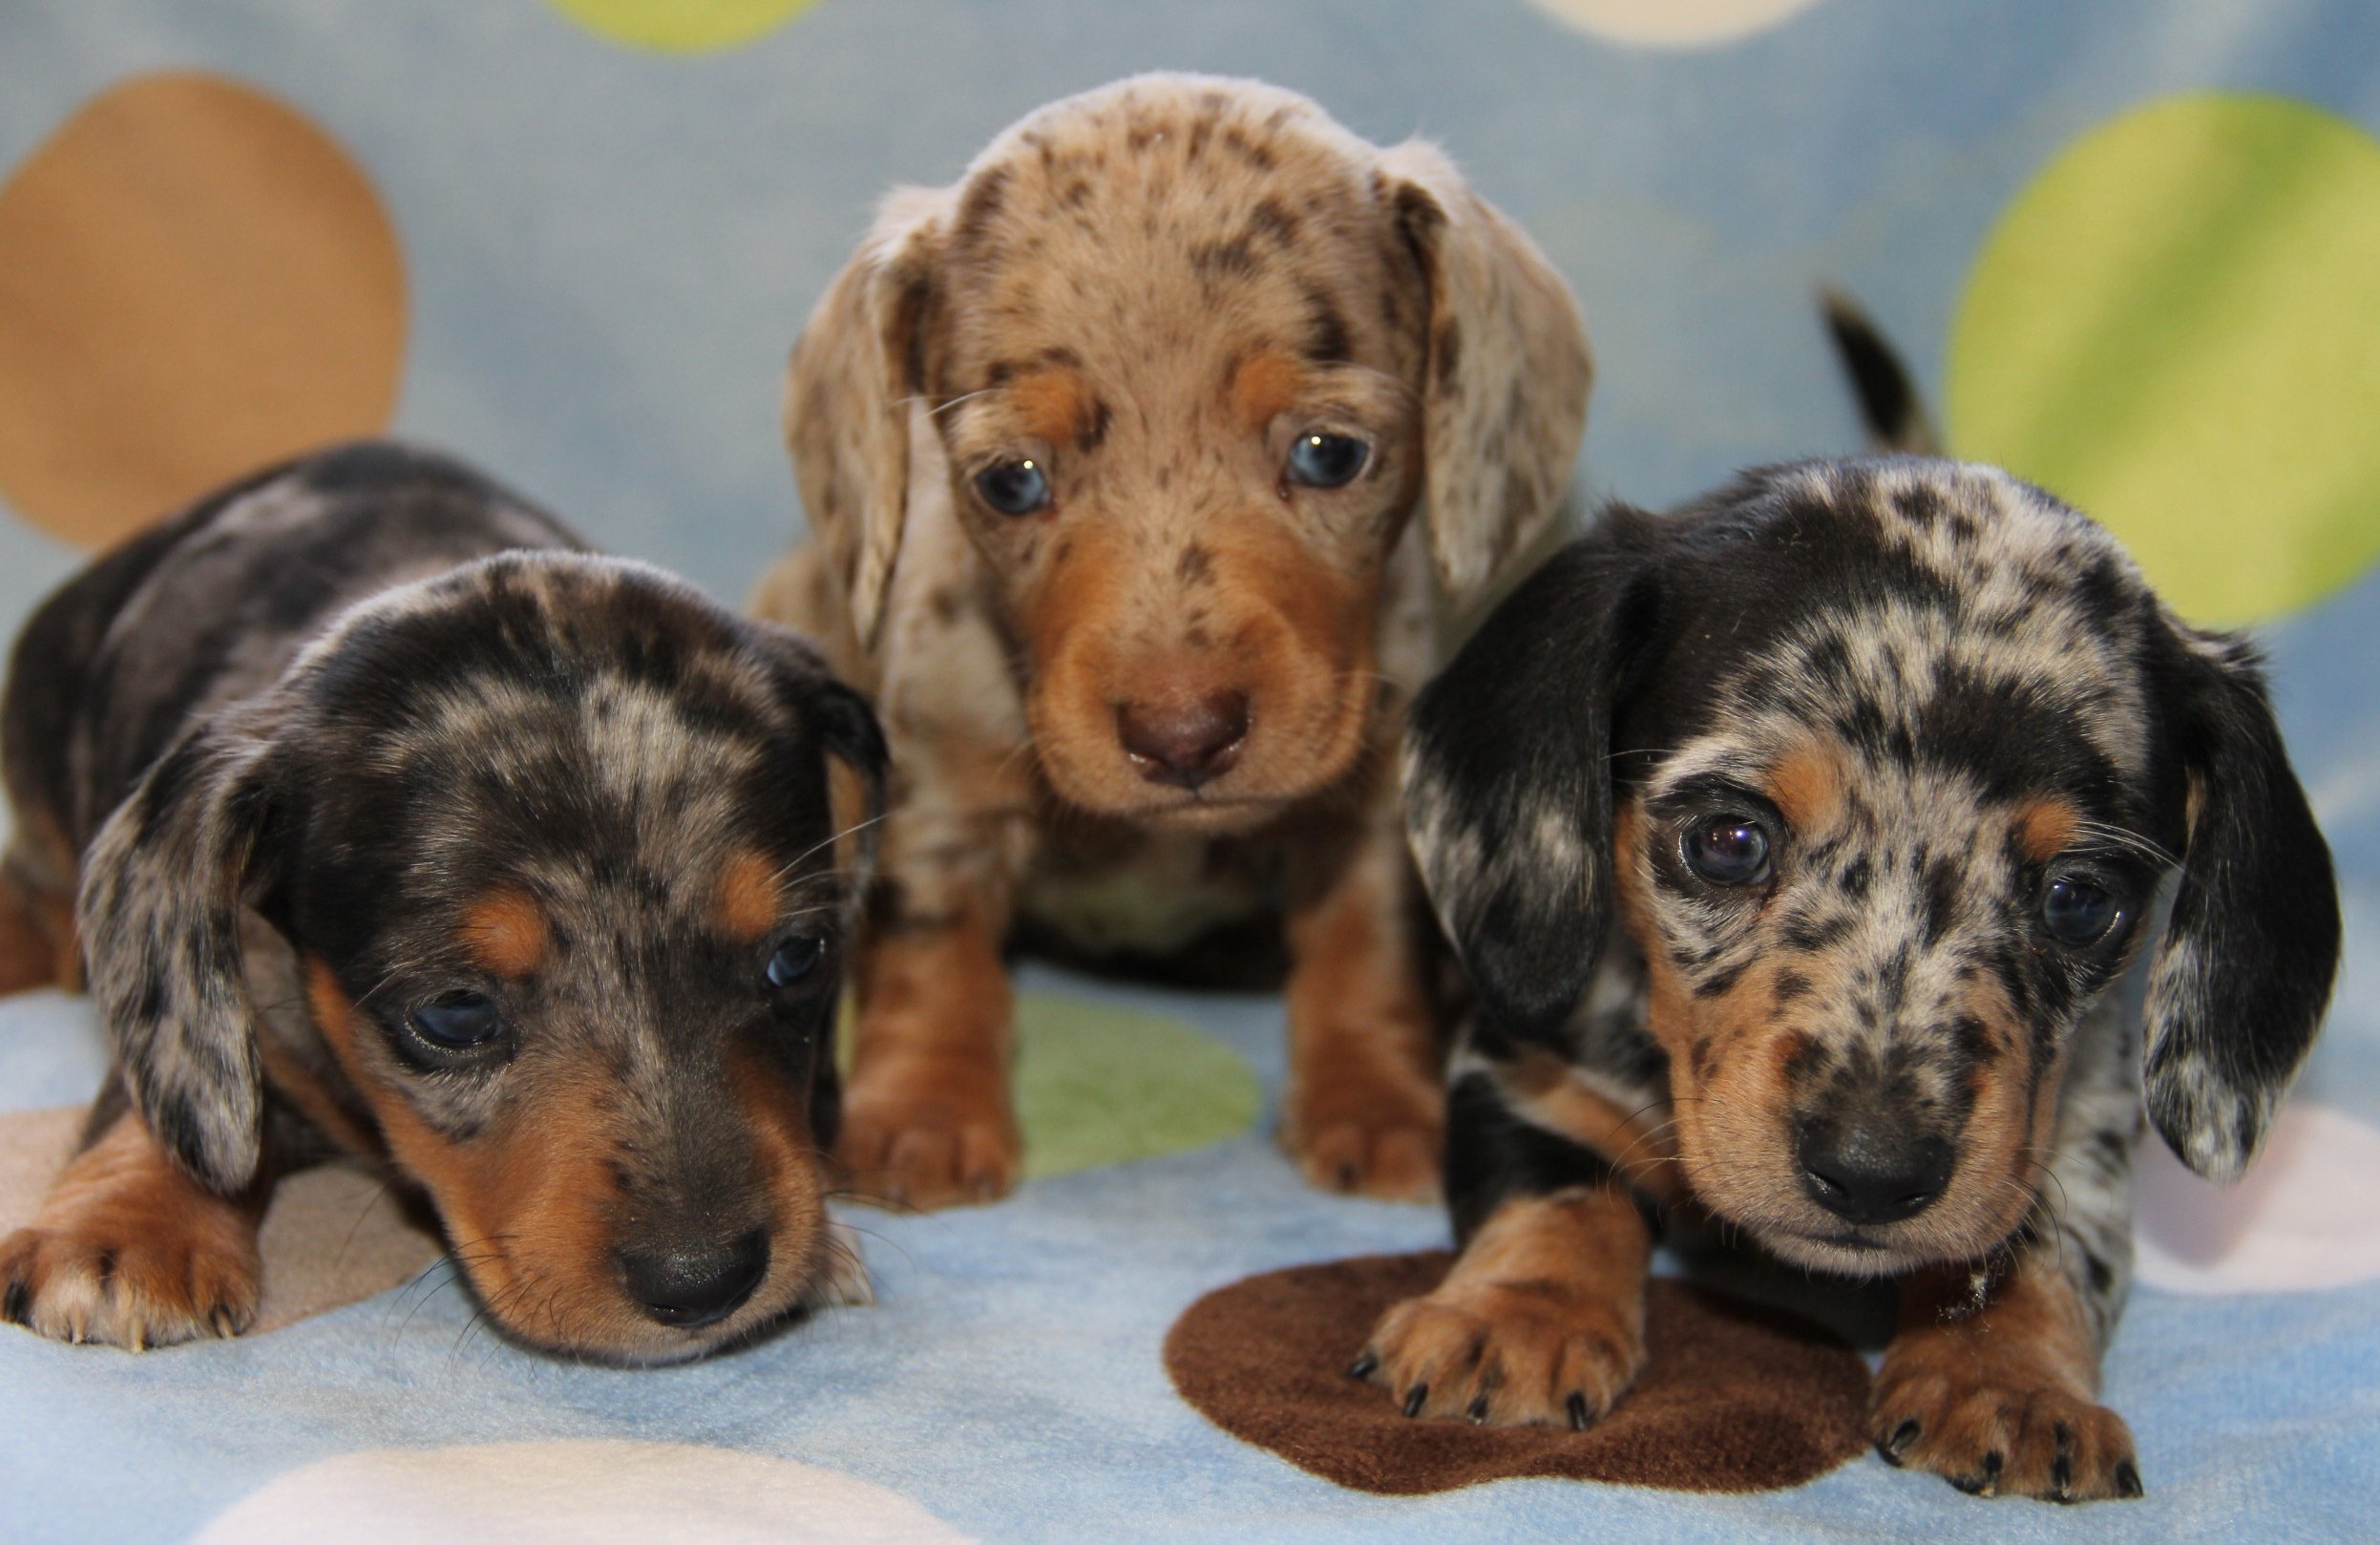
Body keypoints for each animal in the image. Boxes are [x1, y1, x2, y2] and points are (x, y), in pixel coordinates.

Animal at [751, 74, 1590, 1204]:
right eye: (1009, 480)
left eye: (1330, 455)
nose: (1183, 736)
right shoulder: (940, 795)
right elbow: (935, 952)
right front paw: (924, 1112)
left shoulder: (1368, 804)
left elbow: (1362, 949)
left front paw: (1374, 1100)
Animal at [1360, 455, 2342, 1494]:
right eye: (1727, 840)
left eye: (2078, 899)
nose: (1872, 1174)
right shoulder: (1525, 1069)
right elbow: (1561, 1188)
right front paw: (1512, 1315)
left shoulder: (2079, 1132)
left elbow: (2034, 1247)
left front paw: (2010, 1378)